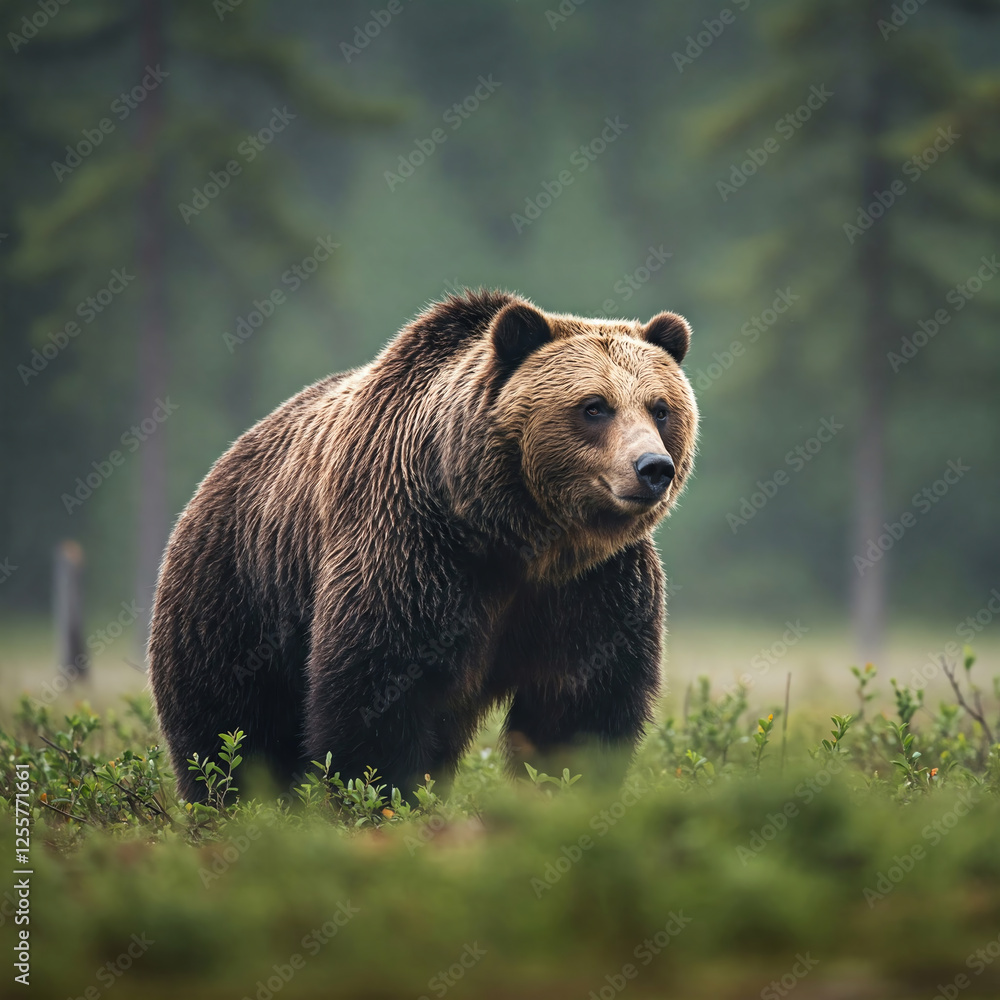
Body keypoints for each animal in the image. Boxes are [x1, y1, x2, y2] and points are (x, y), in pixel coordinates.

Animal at [148, 289, 698, 801]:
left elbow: (581, 707)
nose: (653, 468)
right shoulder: (415, 551)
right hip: (238, 596)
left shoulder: (594, 585)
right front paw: (380, 795)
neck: (521, 537)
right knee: (233, 727)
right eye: (594, 406)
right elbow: (380, 691)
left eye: (660, 408)